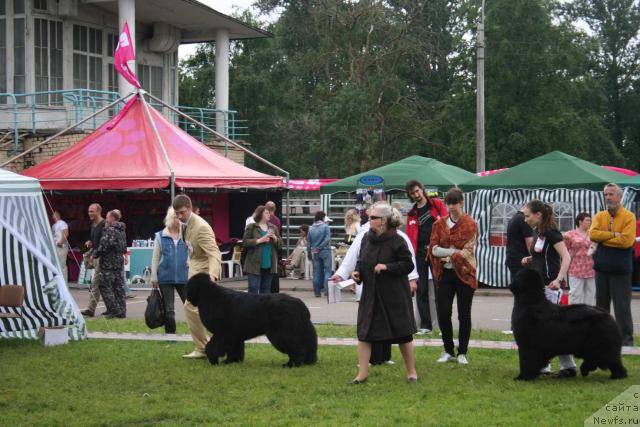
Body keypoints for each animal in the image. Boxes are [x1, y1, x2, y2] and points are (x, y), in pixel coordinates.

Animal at [185, 274, 318, 368]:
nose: (186, 297)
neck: (209, 295)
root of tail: (299, 305)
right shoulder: (234, 335)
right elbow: (234, 350)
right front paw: (231, 362)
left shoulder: (222, 333)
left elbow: (212, 346)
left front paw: (214, 360)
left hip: (282, 334)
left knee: (296, 349)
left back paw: (292, 365)